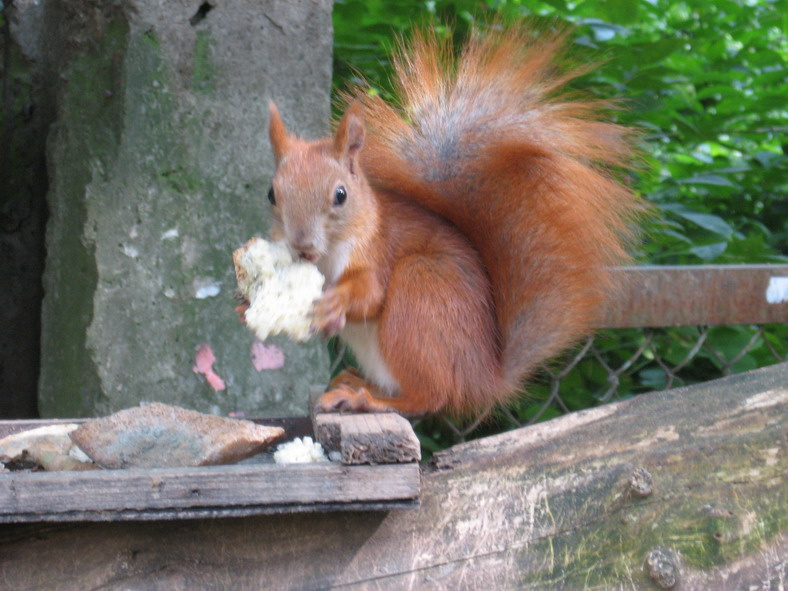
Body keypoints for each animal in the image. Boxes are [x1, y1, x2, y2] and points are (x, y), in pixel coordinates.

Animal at [264, 23, 642, 416]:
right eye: (271, 194)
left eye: (341, 195)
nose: (301, 245)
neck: (325, 259)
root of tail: (482, 379)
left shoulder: (377, 249)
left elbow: (369, 295)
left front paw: (336, 303)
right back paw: (355, 382)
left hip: (420, 292)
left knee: (429, 396)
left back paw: (363, 398)